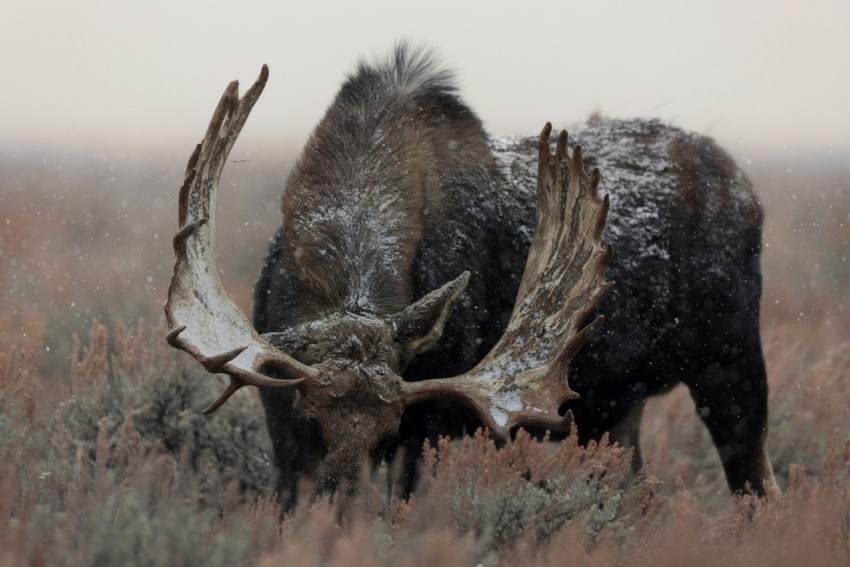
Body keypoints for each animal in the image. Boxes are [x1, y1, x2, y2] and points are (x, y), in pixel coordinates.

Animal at [162, 45, 772, 506]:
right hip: (613, 407)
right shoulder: (278, 426)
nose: (338, 509)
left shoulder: (432, 428)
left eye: (387, 433)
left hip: (732, 360)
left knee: (755, 479)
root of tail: (746, 188)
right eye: (309, 419)